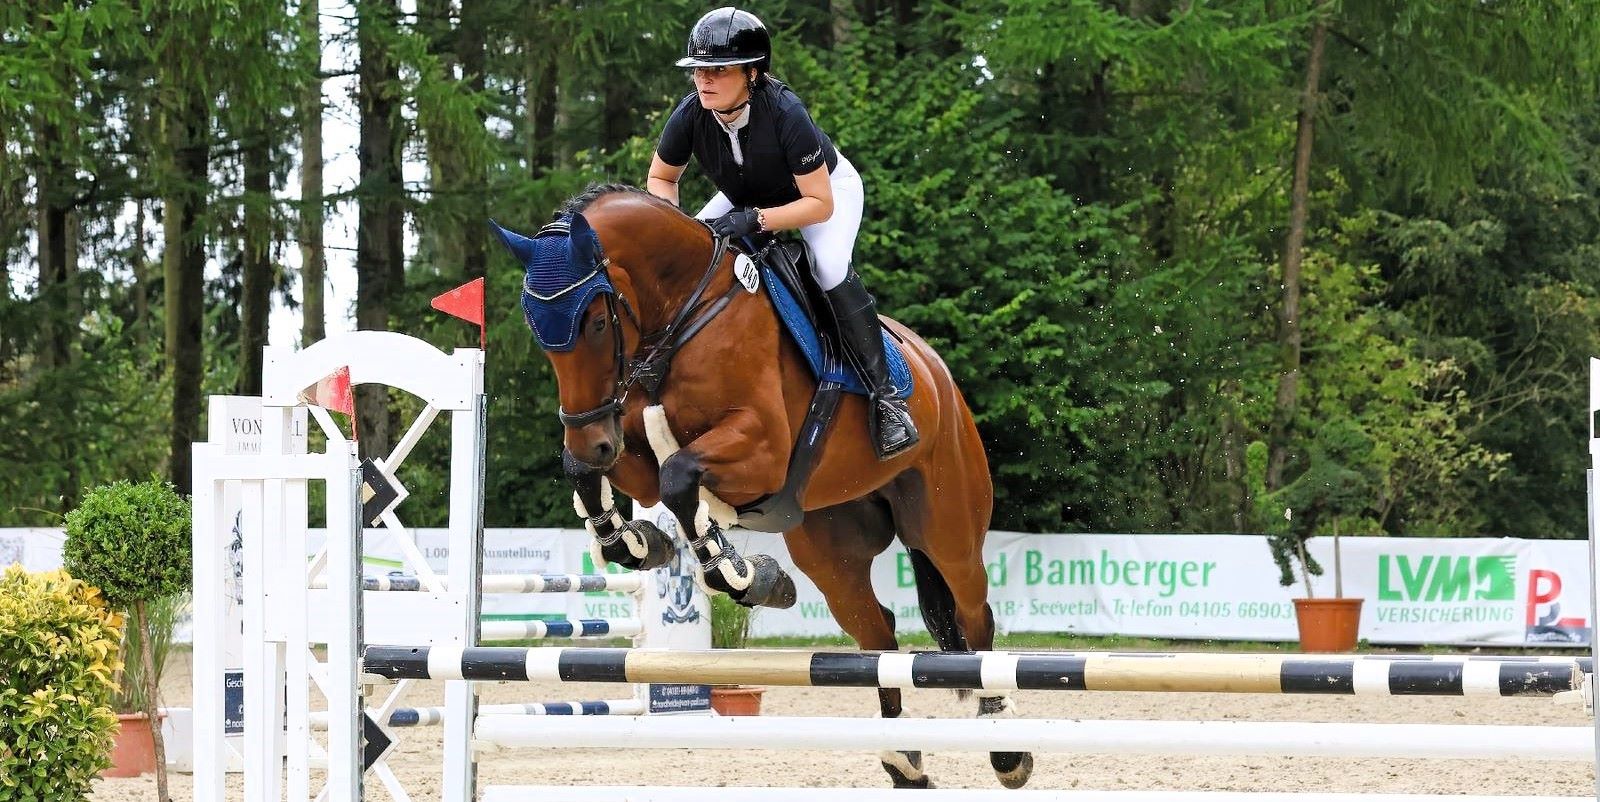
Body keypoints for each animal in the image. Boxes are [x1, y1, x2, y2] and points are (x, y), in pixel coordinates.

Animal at [492, 184, 1031, 790]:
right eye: (539, 331)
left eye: (596, 323)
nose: (593, 442)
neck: (681, 315)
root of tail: (937, 372)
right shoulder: (630, 444)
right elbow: (598, 476)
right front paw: (637, 543)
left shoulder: (763, 451)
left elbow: (680, 478)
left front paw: (738, 573)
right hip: (832, 551)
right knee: (878, 634)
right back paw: (904, 761)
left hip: (947, 526)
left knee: (972, 614)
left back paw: (1003, 745)